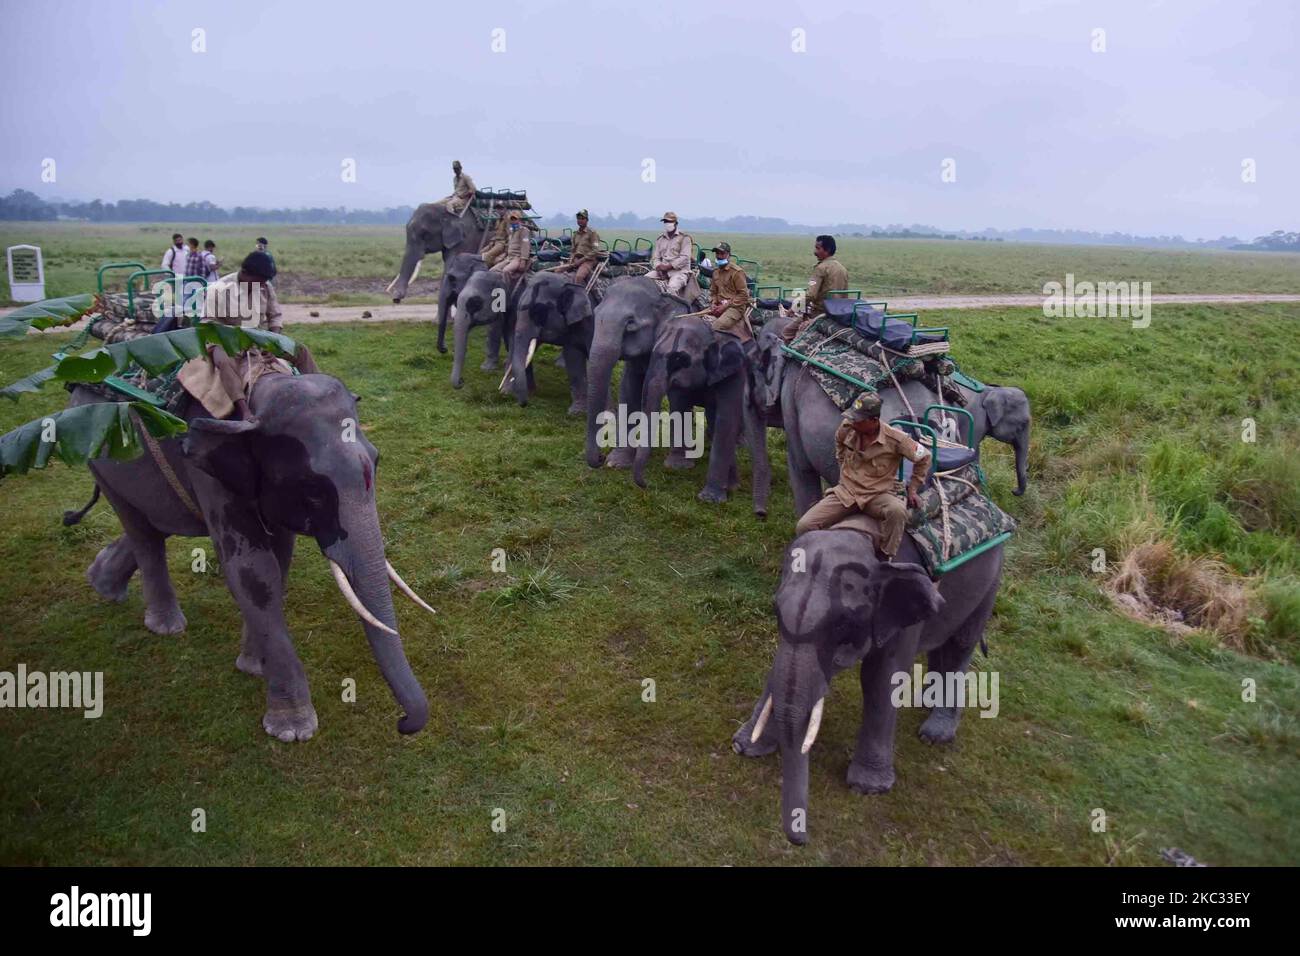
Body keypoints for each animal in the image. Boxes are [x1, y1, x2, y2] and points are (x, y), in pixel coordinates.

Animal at [68, 369, 434, 743]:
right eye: (314, 492)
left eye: (376, 462)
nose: (402, 723)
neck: (263, 383)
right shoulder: (207, 469)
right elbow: (253, 571)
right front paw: (292, 730)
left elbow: (279, 558)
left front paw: (254, 667)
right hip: (99, 451)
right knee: (142, 530)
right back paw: (165, 626)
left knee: (157, 521)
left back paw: (102, 583)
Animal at [587, 277, 696, 470]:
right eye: (596, 312)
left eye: (630, 324)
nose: (600, 458)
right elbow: (629, 389)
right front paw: (616, 463)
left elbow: (679, 396)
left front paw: (677, 466)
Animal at [631, 317, 769, 515]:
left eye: (680, 360)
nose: (646, 485)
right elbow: (680, 403)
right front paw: (677, 467)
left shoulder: (736, 372)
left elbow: (727, 419)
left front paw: (710, 500)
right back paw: (732, 484)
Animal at [733, 522, 1003, 842]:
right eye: (775, 611)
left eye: (841, 624)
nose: (801, 839)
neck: (860, 533)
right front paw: (744, 747)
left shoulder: (902, 612)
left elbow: (882, 678)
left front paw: (867, 789)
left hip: (992, 577)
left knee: (960, 644)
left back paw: (935, 734)